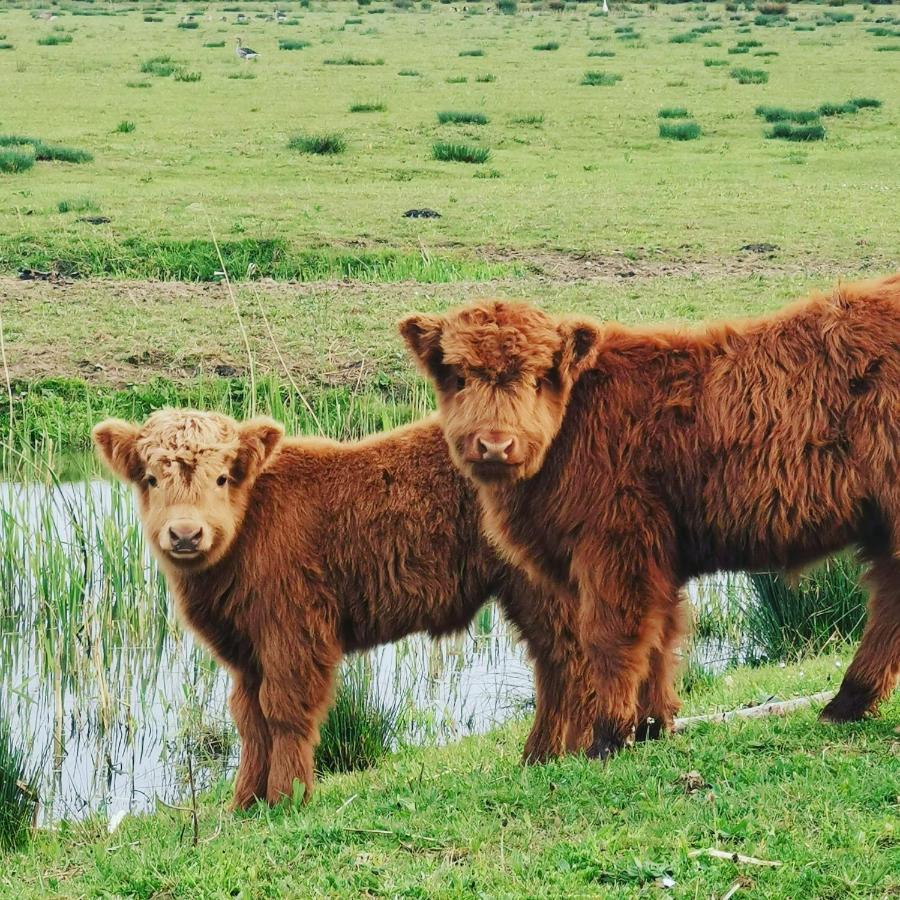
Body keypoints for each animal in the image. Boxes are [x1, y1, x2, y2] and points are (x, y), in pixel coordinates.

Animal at [93, 408, 596, 808]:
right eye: (151, 479)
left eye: (221, 477)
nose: (185, 534)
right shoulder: (245, 651)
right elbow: (249, 719)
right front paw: (244, 803)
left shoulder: (294, 630)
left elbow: (283, 710)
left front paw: (287, 798)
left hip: (539, 586)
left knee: (566, 657)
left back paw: (561, 750)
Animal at [404, 274, 900, 760]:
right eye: (458, 377)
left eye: (540, 377)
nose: (495, 444)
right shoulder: (652, 556)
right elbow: (660, 635)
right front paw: (649, 726)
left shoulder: (618, 544)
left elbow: (611, 636)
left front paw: (608, 735)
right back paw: (847, 703)